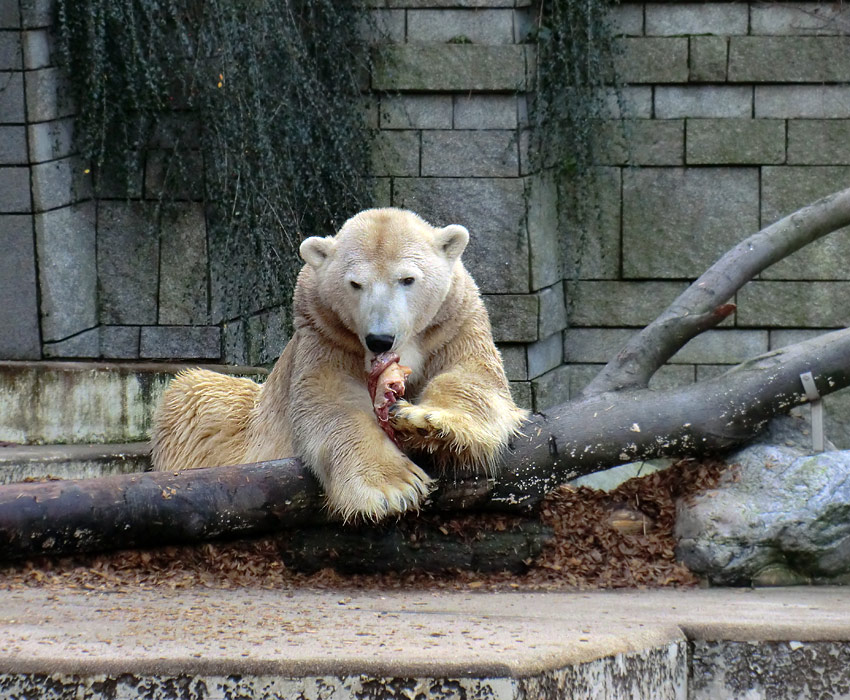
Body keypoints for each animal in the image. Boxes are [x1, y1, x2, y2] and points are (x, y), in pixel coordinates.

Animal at [151, 206, 524, 520]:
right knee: (195, 394)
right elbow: (332, 402)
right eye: (355, 283)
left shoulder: (453, 322)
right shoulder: (325, 334)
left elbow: (473, 376)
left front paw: (424, 422)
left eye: (407, 279)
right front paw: (394, 487)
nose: (379, 338)